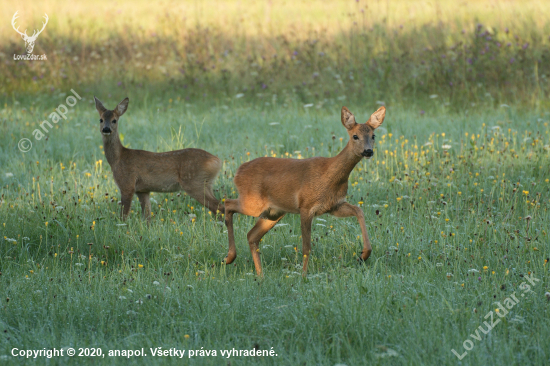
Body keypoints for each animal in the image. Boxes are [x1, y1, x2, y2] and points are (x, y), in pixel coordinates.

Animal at [94, 97, 224, 222]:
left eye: (114, 120)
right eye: (100, 119)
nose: (106, 129)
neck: (118, 159)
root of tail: (217, 160)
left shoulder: (127, 184)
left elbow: (124, 216)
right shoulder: (142, 190)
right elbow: (147, 216)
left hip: (195, 182)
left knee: (219, 206)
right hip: (207, 183)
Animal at [224, 105, 388, 274]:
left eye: (373, 135)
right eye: (355, 136)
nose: (368, 151)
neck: (329, 176)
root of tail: (238, 172)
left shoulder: (333, 205)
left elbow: (358, 210)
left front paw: (364, 254)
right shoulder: (306, 206)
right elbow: (306, 247)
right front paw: (303, 275)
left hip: (273, 213)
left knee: (252, 235)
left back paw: (260, 274)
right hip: (253, 202)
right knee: (228, 204)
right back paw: (229, 258)